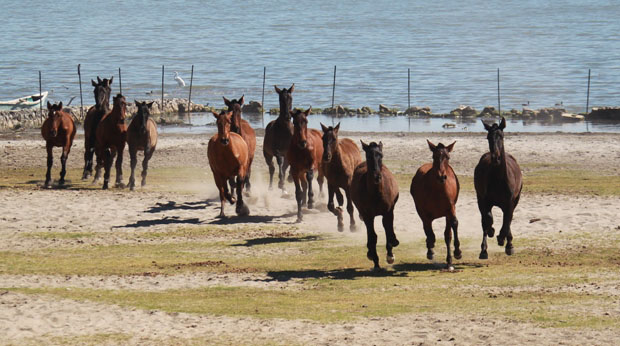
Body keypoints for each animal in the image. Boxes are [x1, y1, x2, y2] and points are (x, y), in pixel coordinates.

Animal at [352, 141, 400, 270]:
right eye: (369, 156)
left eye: (381, 155)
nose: (376, 177)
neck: (376, 193)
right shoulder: (368, 216)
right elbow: (373, 237)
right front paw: (376, 261)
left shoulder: (388, 212)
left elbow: (388, 230)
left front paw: (390, 254)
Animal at [412, 140, 460, 268]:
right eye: (434, 156)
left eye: (447, 157)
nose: (441, 177)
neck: (438, 190)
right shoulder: (423, 212)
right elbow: (429, 230)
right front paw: (431, 248)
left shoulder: (450, 209)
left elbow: (451, 230)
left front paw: (455, 254)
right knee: (427, 228)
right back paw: (430, 249)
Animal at [474, 117, 524, 258]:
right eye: (488, 137)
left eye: (501, 136)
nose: (495, 157)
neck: (499, 179)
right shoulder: (484, 200)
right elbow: (487, 219)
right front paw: (492, 232)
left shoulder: (510, 202)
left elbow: (507, 221)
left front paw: (504, 241)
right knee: (485, 221)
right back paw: (484, 249)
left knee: (507, 219)